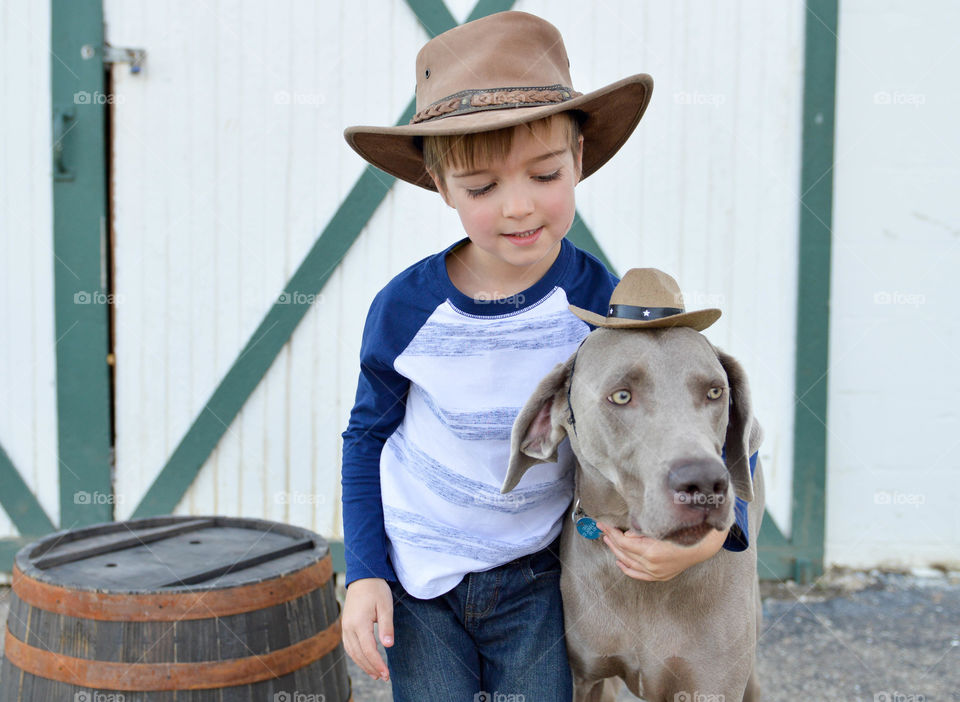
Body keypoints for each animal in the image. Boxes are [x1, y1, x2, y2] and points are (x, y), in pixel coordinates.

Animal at [502, 272, 764, 700]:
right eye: (621, 395)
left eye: (715, 391)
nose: (705, 482)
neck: (640, 589)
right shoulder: (582, 676)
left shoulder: (712, 684)